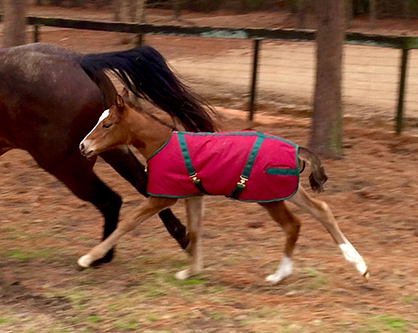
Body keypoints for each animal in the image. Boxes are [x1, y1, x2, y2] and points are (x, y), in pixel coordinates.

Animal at [0, 42, 216, 264]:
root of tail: (79, 60)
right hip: (108, 148)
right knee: (143, 184)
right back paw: (181, 237)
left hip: (70, 166)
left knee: (110, 200)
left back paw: (98, 256)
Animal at [78, 94, 370, 284]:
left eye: (106, 124)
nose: (83, 146)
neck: (160, 143)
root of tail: (297, 149)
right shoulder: (193, 195)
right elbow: (195, 230)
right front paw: (191, 271)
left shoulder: (163, 197)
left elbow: (128, 222)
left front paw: (89, 258)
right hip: (289, 190)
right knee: (321, 211)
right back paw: (358, 265)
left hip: (269, 197)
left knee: (293, 225)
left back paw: (281, 273)